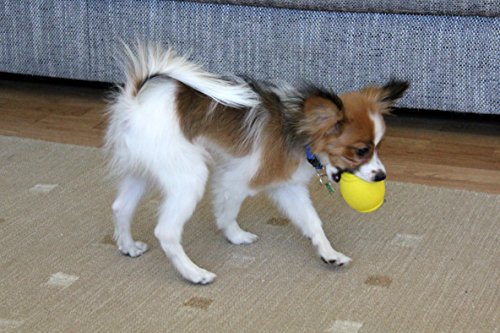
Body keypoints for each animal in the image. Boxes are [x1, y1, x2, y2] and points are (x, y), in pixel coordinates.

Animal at [105, 42, 410, 282]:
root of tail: (135, 102)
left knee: (121, 207)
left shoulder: (288, 188)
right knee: (166, 232)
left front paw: (329, 253)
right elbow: (227, 212)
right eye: (361, 151)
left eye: (379, 147)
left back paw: (128, 246)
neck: (296, 128)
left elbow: (312, 223)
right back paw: (194, 273)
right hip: (188, 176)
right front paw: (235, 236)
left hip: (142, 171)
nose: (381, 176)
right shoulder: (235, 180)